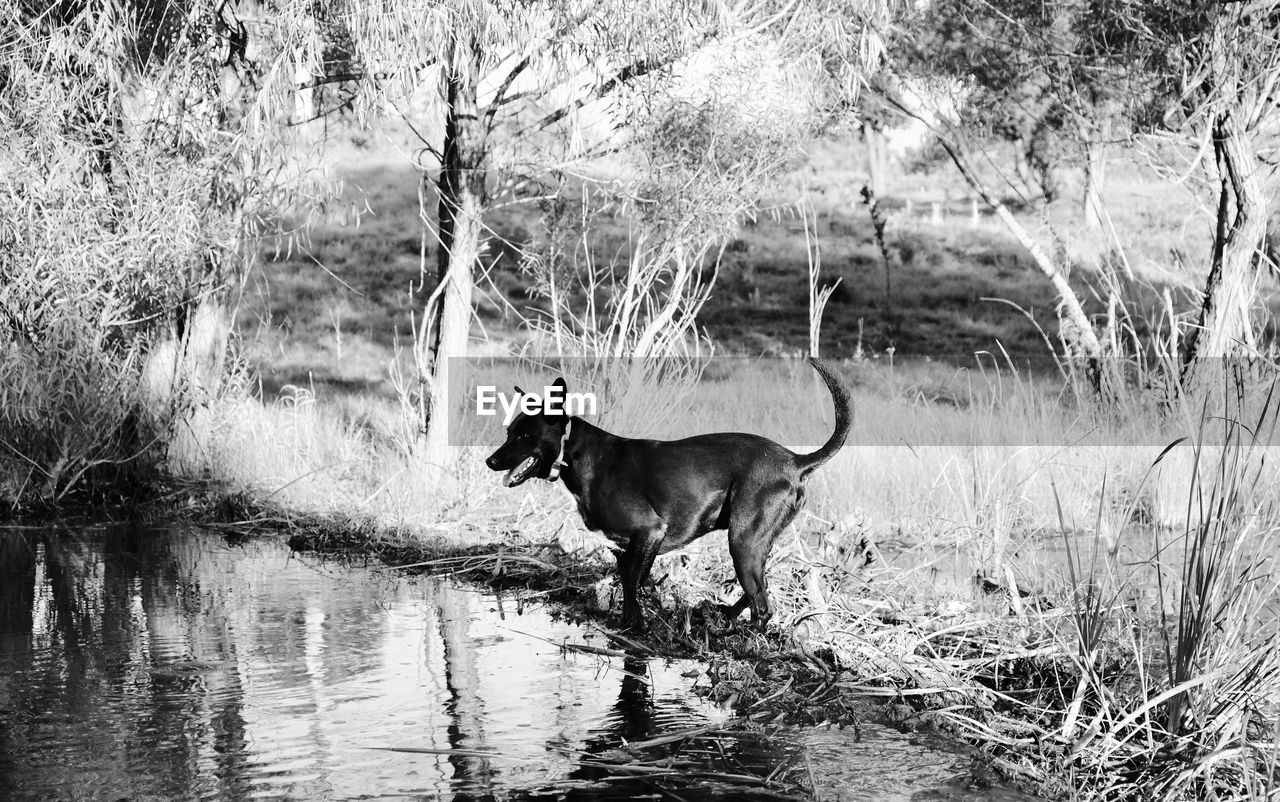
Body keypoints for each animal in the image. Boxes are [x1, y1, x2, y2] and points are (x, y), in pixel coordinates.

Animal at [483, 360, 855, 631]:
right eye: (509, 432)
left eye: (525, 435)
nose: (491, 461)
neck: (577, 453)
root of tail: (795, 460)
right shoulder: (628, 547)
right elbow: (628, 582)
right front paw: (629, 622)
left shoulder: (649, 532)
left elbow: (633, 583)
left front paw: (637, 626)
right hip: (755, 543)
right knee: (760, 590)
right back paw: (724, 618)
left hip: (743, 541)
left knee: (762, 607)